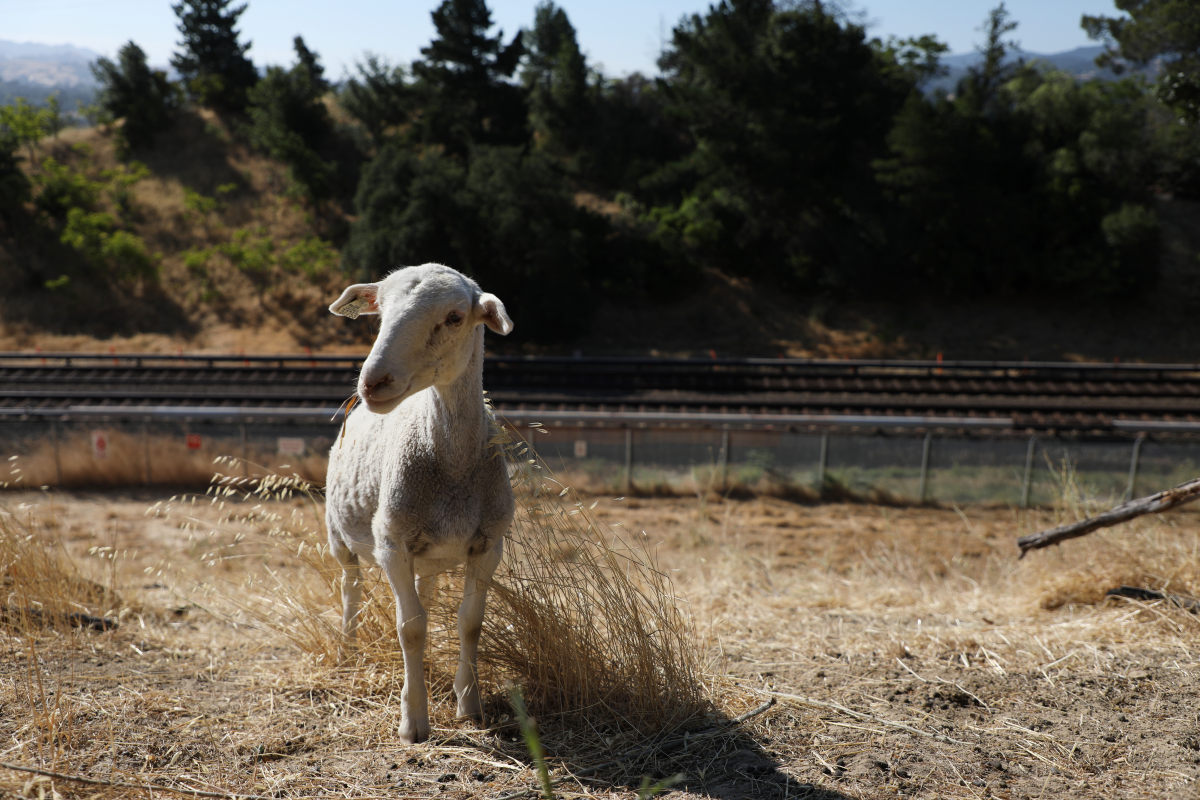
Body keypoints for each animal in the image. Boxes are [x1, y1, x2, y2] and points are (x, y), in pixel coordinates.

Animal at [326, 262, 513, 743]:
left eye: (454, 317)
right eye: (380, 312)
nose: (373, 382)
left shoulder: (490, 543)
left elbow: (470, 622)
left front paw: (469, 705)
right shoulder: (391, 542)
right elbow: (409, 628)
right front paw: (413, 721)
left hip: (427, 555)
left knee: (422, 595)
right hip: (338, 534)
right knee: (350, 585)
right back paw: (347, 649)